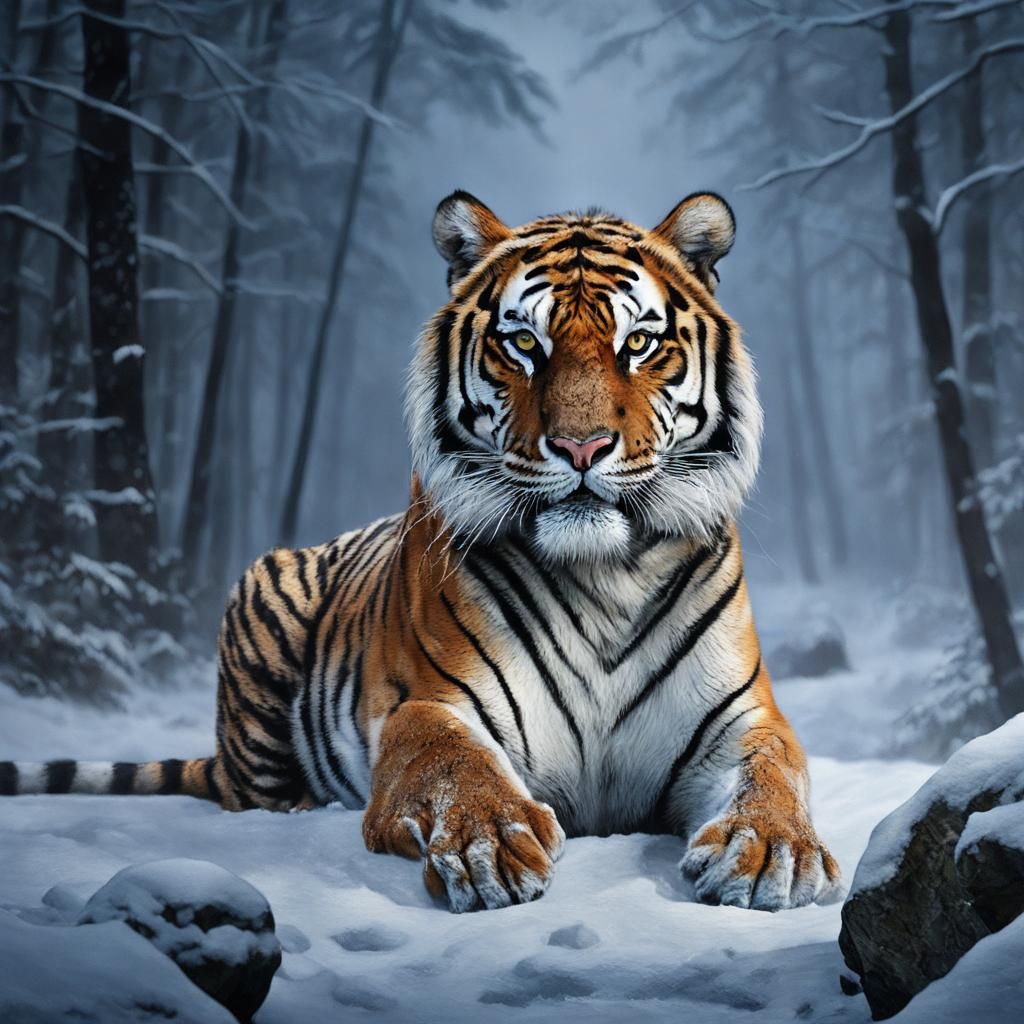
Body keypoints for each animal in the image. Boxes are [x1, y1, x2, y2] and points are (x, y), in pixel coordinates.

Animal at [1, 190, 840, 913]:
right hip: (260, 608)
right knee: (253, 790)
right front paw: (487, 843)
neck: (602, 573)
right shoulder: (433, 703)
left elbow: (770, 776)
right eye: (523, 343)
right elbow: (450, 763)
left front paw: (769, 853)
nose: (581, 446)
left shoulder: (741, 720)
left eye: (638, 343)